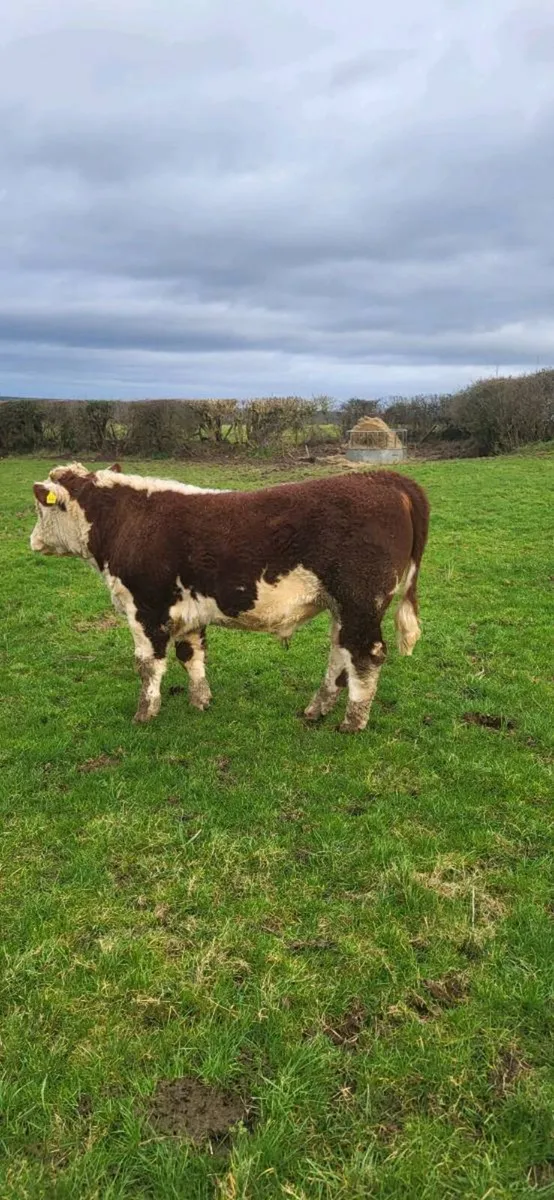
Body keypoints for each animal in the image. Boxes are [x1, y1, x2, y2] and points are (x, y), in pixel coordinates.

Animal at [30, 461, 429, 733]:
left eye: (41, 506)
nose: (33, 540)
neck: (128, 521)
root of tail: (384, 478)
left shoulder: (145, 607)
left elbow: (147, 664)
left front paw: (144, 714)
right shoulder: (186, 609)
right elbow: (190, 654)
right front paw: (201, 701)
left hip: (361, 602)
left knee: (366, 656)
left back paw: (352, 722)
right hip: (343, 608)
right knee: (339, 653)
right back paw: (316, 709)